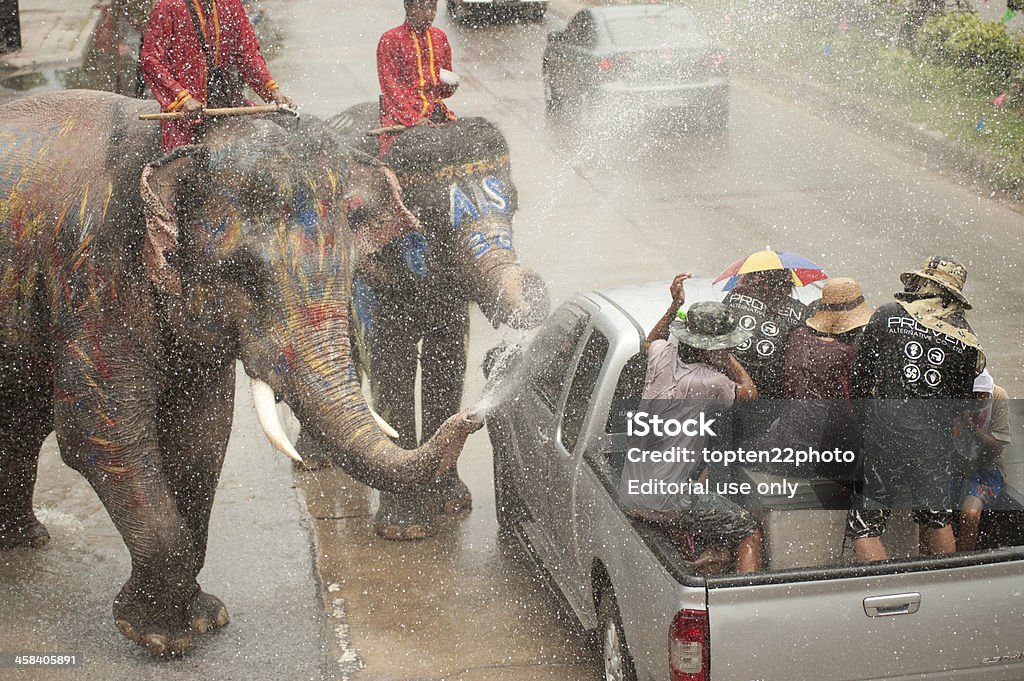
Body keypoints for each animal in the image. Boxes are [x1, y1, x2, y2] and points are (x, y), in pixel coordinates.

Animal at [0, 89, 479, 655]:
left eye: (349, 268)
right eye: (242, 273)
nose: (475, 417)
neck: (172, 146)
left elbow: (201, 434)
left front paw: (206, 619)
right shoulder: (92, 280)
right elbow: (103, 437)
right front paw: (162, 639)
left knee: (23, 418)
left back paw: (24, 540)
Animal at [327, 102, 552, 536]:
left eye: (514, 205)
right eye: (430, 217)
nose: (534, 286)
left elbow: (448, 360)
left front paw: (450, 504)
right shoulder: (368, 274)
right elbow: (389, 361)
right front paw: (406, 530)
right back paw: (317, 463)